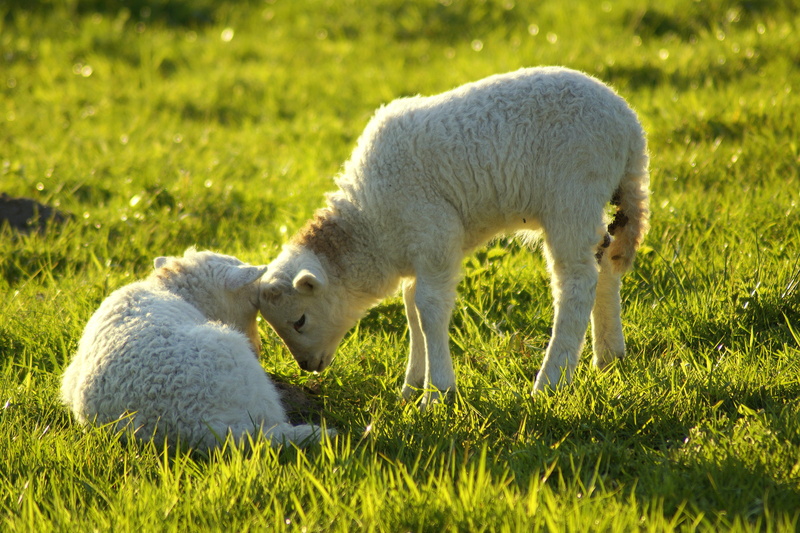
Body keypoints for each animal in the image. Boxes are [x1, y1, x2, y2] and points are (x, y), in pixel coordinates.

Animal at [258, 67, 650, 408]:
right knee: (605, 261)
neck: (370, 223)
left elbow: (429, 309)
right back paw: (610, 355)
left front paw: (437, 393)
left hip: (572, 195)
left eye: (299, 320)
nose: (307, 367)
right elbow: (412, 309)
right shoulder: (417, 251)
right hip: (596, 202)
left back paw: (550, 381)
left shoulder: (434, 234)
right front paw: (412, 386)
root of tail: (630, 125)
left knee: (577, 282)